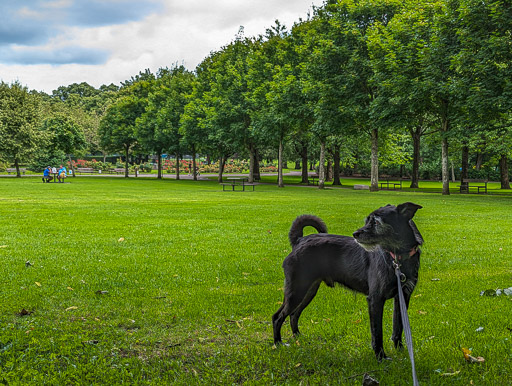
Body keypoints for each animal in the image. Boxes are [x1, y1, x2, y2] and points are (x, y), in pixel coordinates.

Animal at [274, 202, 422, 358]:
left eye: (376, 222)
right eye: (367, 220)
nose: (355, 234)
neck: (397, 258)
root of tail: (299, 240)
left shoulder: (403, 297)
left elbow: (398, 327)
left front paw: (401, 351)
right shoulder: (375, 299)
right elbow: (377, 333)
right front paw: (380, 357)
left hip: (309, 291)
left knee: (294, 314)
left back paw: (298, 337)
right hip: (296, 291)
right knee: (277, 317)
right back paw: (278, 343)